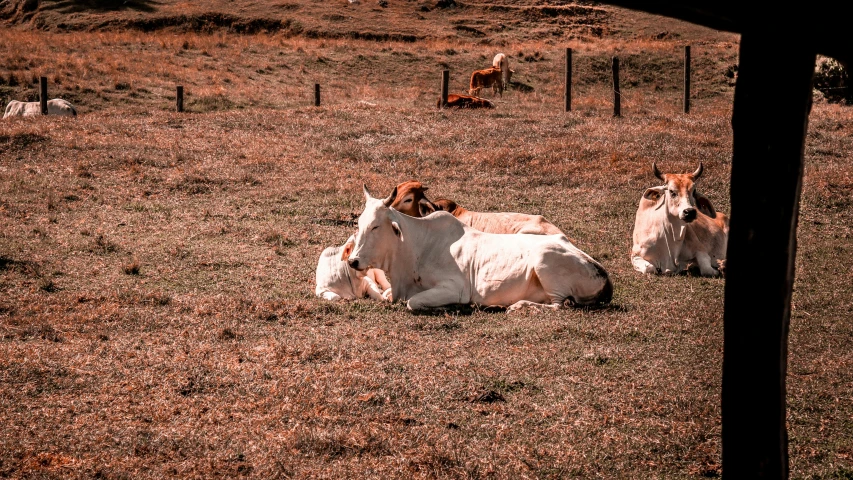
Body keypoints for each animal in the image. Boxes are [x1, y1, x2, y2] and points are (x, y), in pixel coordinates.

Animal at [346, 184, 612, 312]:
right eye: (359, 224)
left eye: (375, 226)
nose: (353, 261)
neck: (417, 246)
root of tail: (601, 270)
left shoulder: (455, 287)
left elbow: (414, 302)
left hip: (544, 260)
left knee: (558, 305)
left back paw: (518, 306)